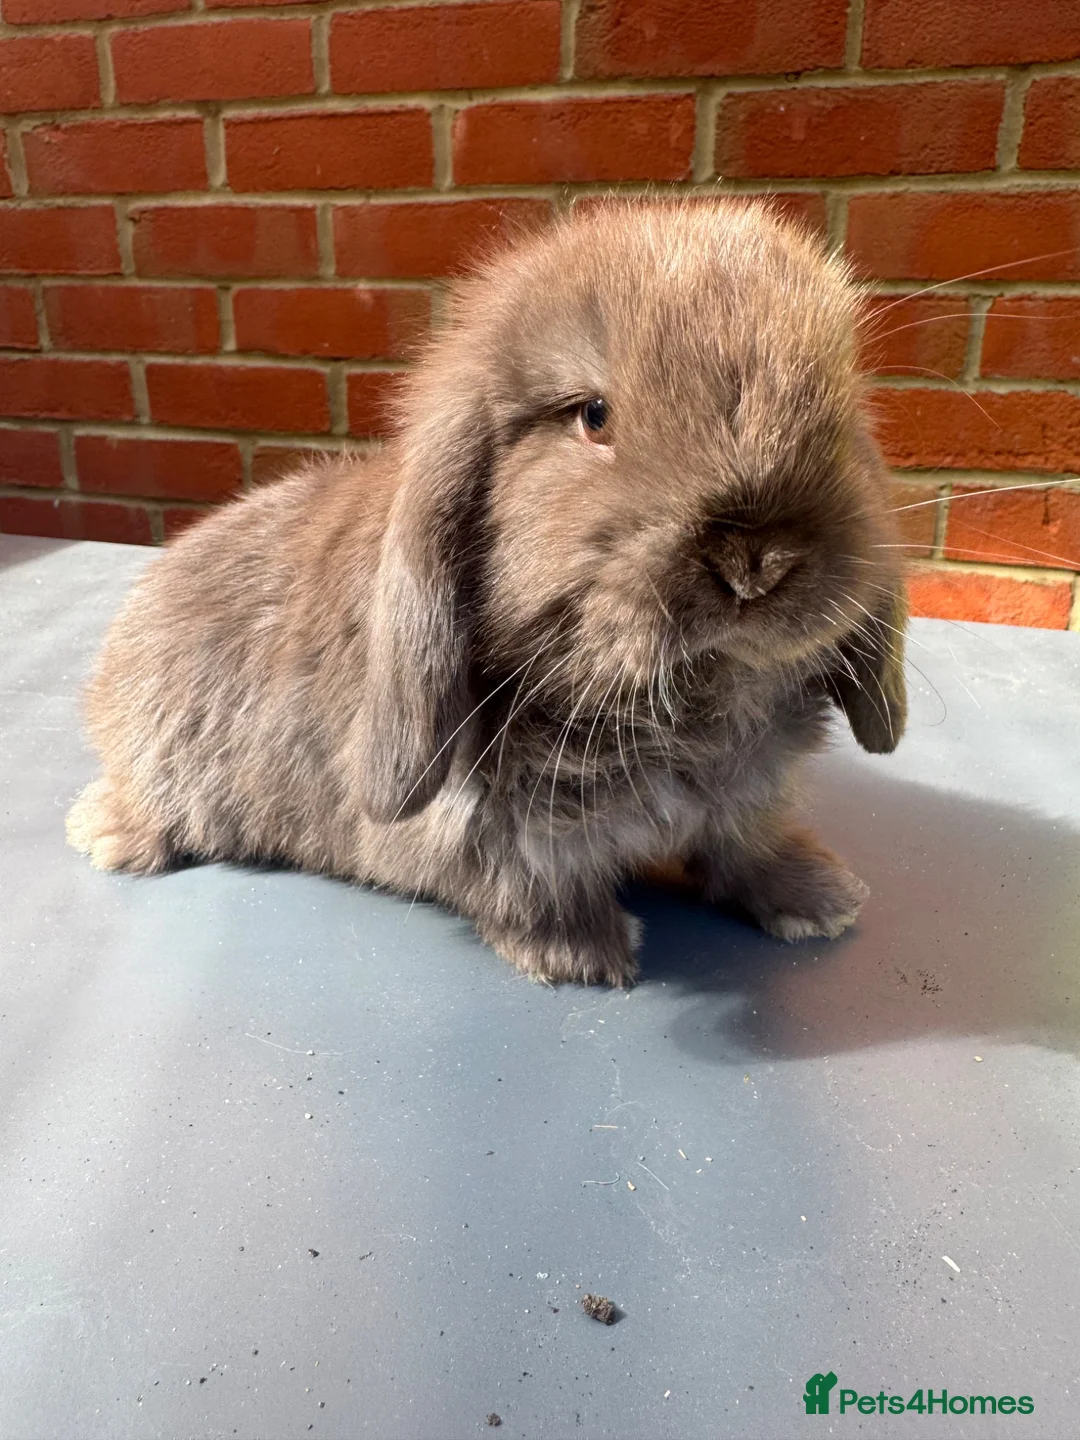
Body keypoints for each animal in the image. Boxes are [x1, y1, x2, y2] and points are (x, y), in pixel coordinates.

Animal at [67, 197, 907, 988]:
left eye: (836, 409)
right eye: (593, 415)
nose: (757, 560)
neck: (686, 703)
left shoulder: (746, 795)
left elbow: (744, 848)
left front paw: (819, 898)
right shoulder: (489, 828)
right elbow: (530, 886)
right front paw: (582, 955)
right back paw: (104, 834)